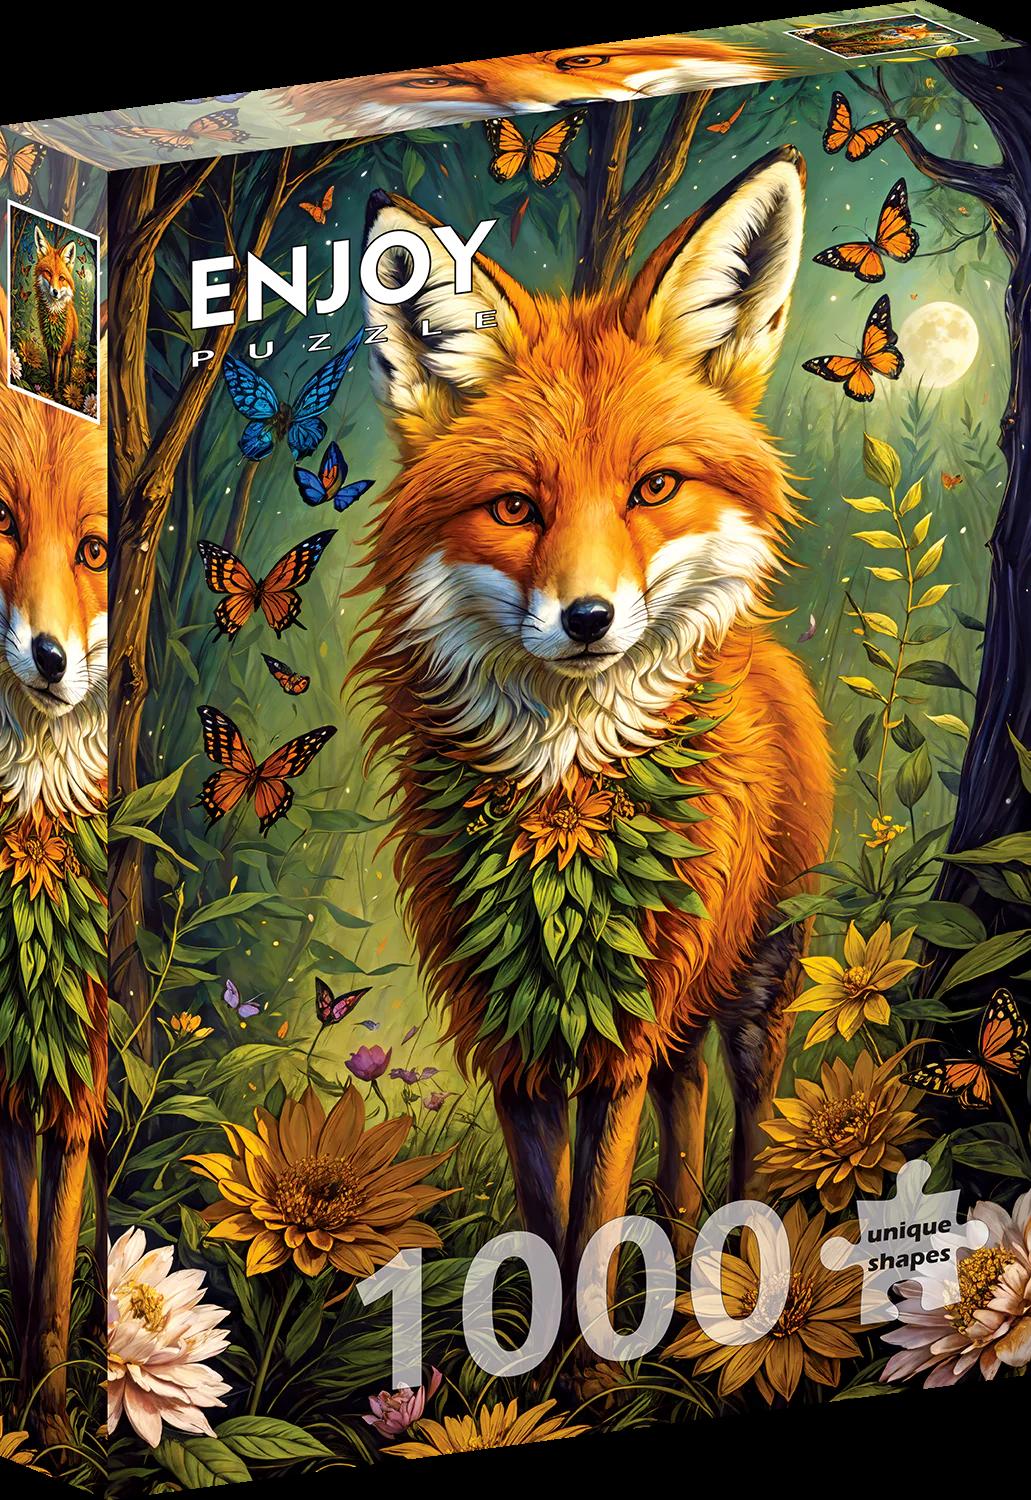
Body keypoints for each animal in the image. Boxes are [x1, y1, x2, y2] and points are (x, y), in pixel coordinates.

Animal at [33, 225, 79, 402]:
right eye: (48, 273)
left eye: (61, 278)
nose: (55, 292)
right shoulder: (49, 346)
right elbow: (53, 371)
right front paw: (51, 387)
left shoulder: (59, 349)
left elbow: (58, 371)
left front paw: (56, 392)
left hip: (71, 347)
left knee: (69, 364)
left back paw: (68, 382)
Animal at [356, 146, 833, 1341]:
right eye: (515, 507)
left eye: (652, 487)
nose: (586, 619)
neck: (565, 815)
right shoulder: (517, 1037)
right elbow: (550, 1230)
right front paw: (540, 1360)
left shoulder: (621, 1027)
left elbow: (590, 1239)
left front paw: (589, 1362)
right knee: (684, 1109)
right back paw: (680, 1272)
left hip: (754, 982)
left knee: (743, 1121)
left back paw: (738, 1278)